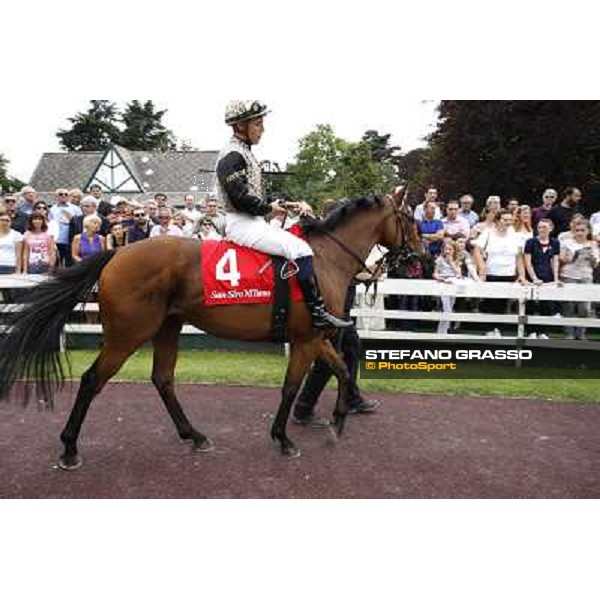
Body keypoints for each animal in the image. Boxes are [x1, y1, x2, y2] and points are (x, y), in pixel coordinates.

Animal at [0, 193, 422, 468]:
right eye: (411, 221)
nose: (419, 257)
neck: (322, 260)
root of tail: (118, 252)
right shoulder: (305, 340)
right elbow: (290, 387)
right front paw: (284, 438)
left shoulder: (317, 339)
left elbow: (342, 371)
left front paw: (337, 420)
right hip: (126, 335)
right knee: (92, 380)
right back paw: (70, 447)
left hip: (166, 328)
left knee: (163, 379)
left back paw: (195, 435)